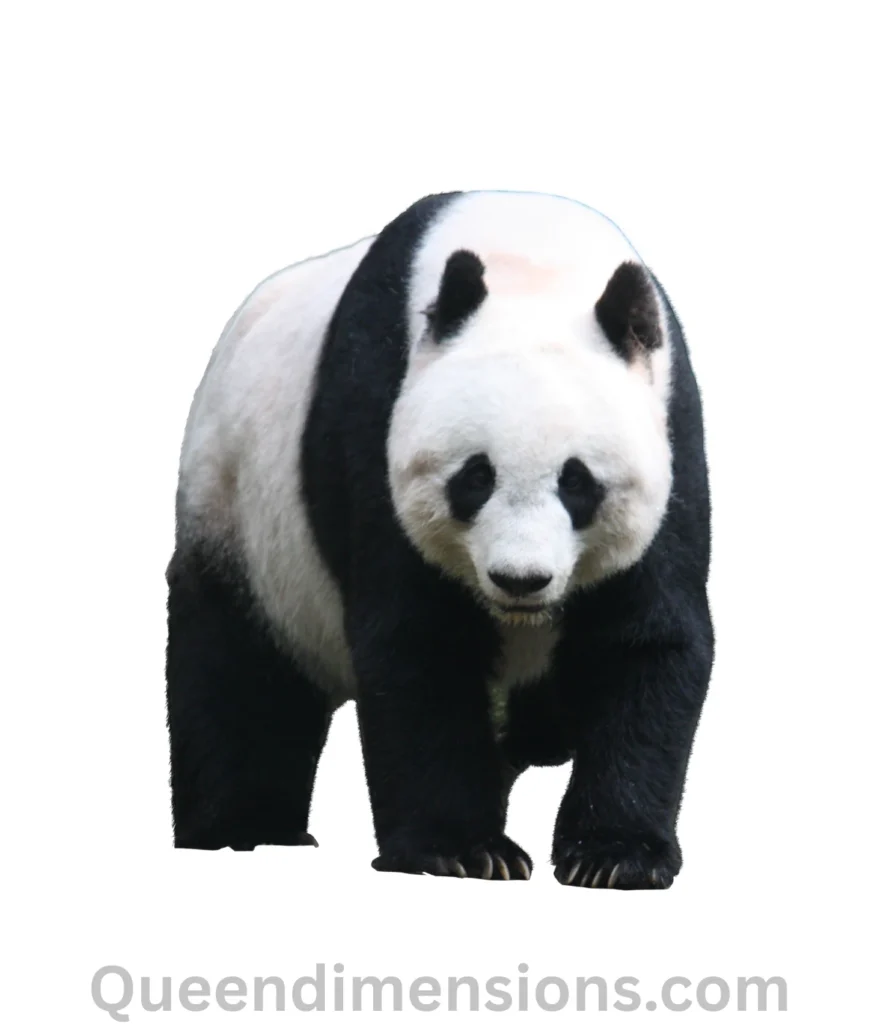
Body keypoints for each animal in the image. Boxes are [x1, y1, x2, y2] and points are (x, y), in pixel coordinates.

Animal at [166, 190, 713, 889]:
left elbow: (642, 642)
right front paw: (463, 850)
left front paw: (615, 856)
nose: (520, 580)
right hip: (239, 512)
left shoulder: (672, 439)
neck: (531, 262)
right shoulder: (373, 421)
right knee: (238, 675)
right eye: (475, 477)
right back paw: (244, 829)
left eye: (578, 482)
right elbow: (420, 643)